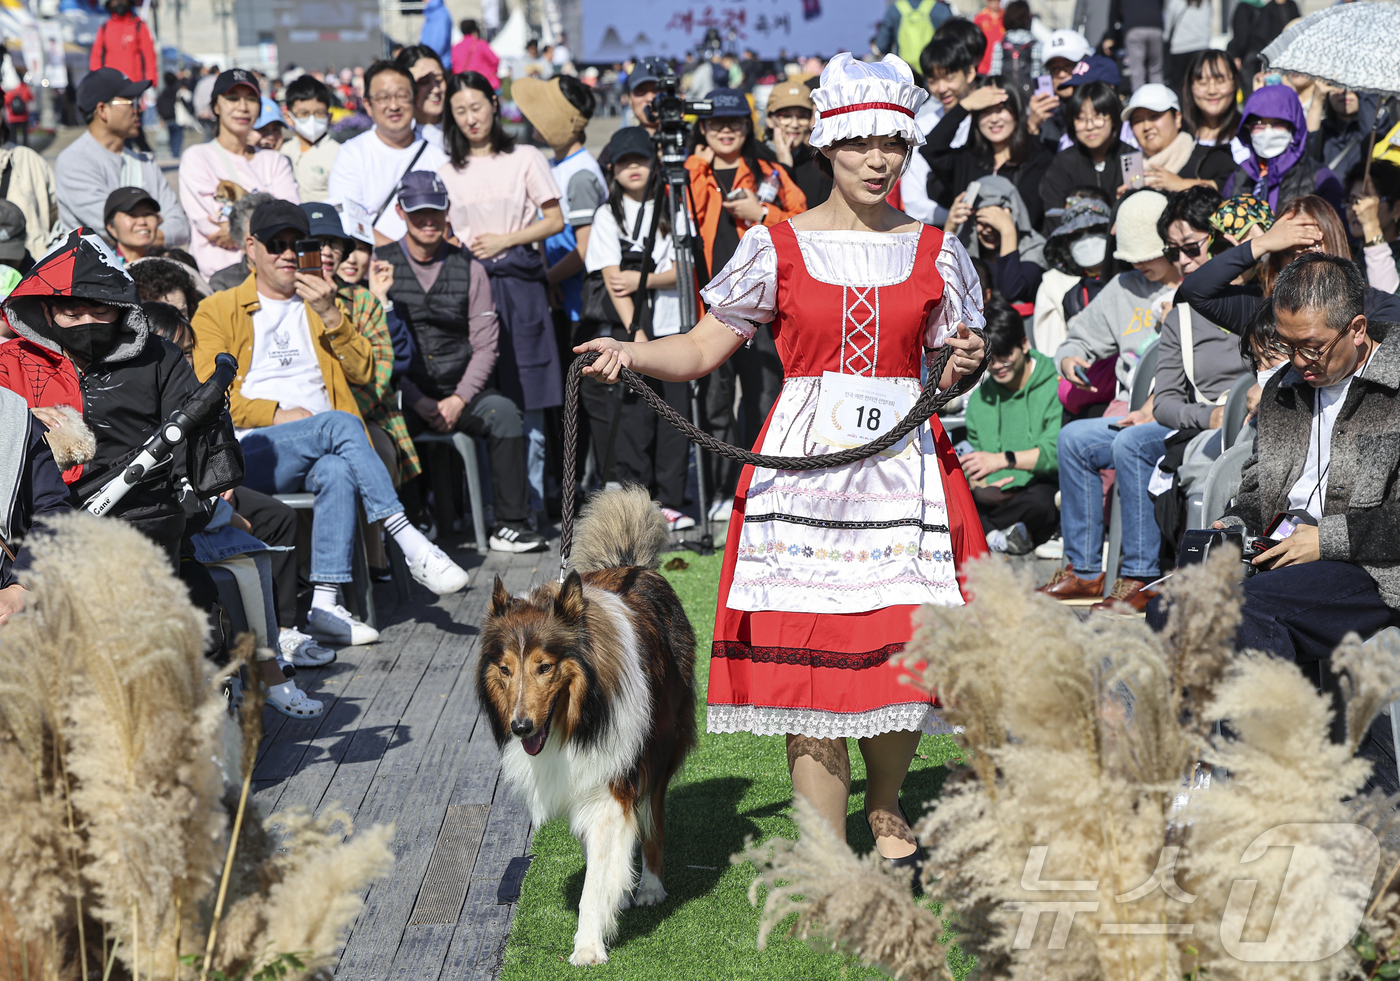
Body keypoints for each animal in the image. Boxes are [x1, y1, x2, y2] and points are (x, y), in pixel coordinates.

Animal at [478, 487, 697, 962]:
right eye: (505, 669)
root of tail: (634, 565)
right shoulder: (581, 778)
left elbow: (594, 882)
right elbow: (596, 859)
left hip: (658, 747)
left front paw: (589, 946)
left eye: (544, 667)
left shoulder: (611, 783)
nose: (520, 728)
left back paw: (650, 887)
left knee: (654, 818)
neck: (574, 721)